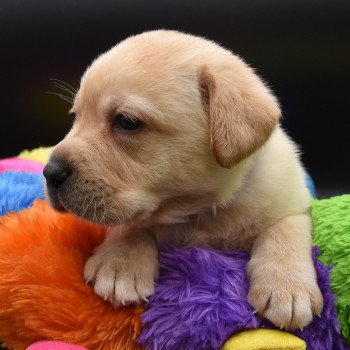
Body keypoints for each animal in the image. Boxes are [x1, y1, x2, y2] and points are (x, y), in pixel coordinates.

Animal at [43, 29, 322, 328]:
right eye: (76, 117)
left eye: (127, 122)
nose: (50, 172)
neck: (197, 210)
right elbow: (131, 223)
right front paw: (120, 261)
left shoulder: (293, 203)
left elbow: (284, 231)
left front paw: (287, 286)